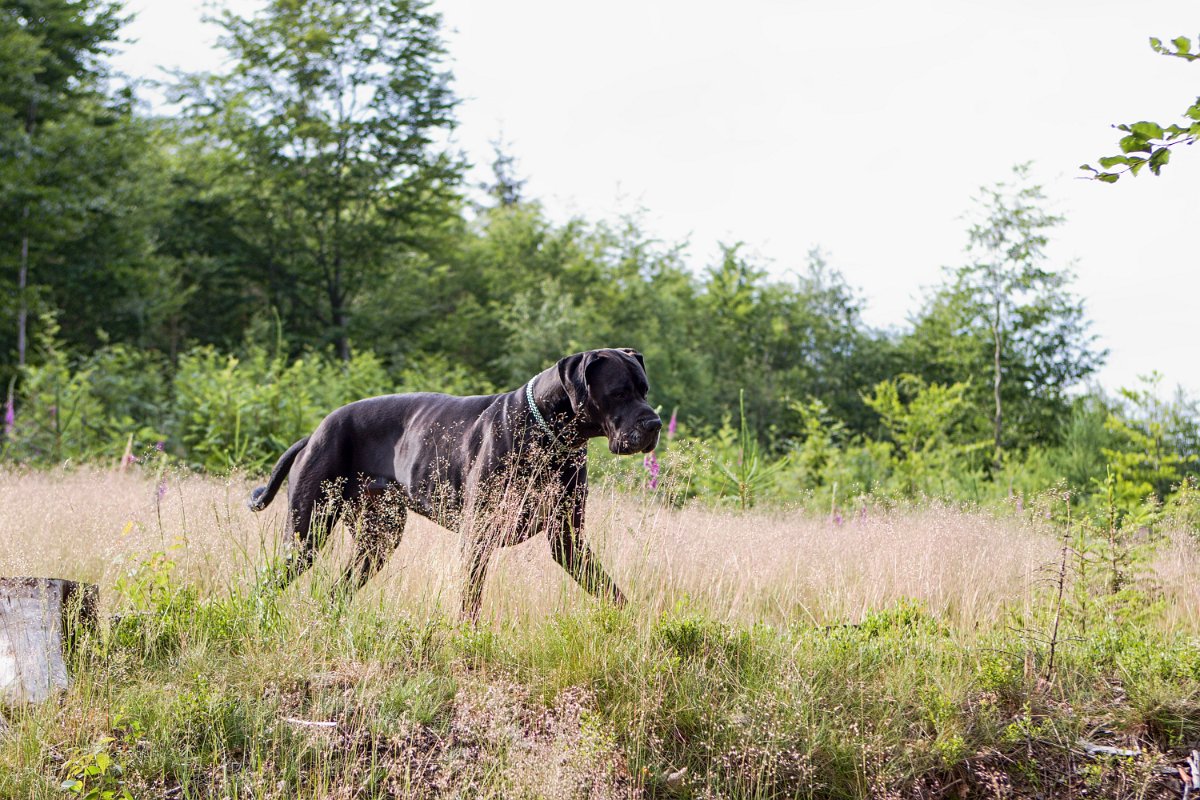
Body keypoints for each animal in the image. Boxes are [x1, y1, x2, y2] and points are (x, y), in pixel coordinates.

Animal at [249, 347, 662, 618]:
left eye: (645, 389)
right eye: (619, 392)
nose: (654, 423)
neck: (549, 432)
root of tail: (314, 432)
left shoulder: (568, 539)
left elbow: (608, 589)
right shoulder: (478, 535)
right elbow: (470, 598)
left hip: (377, 541)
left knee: (336, 591)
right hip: (306, 535)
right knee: (269, 582)